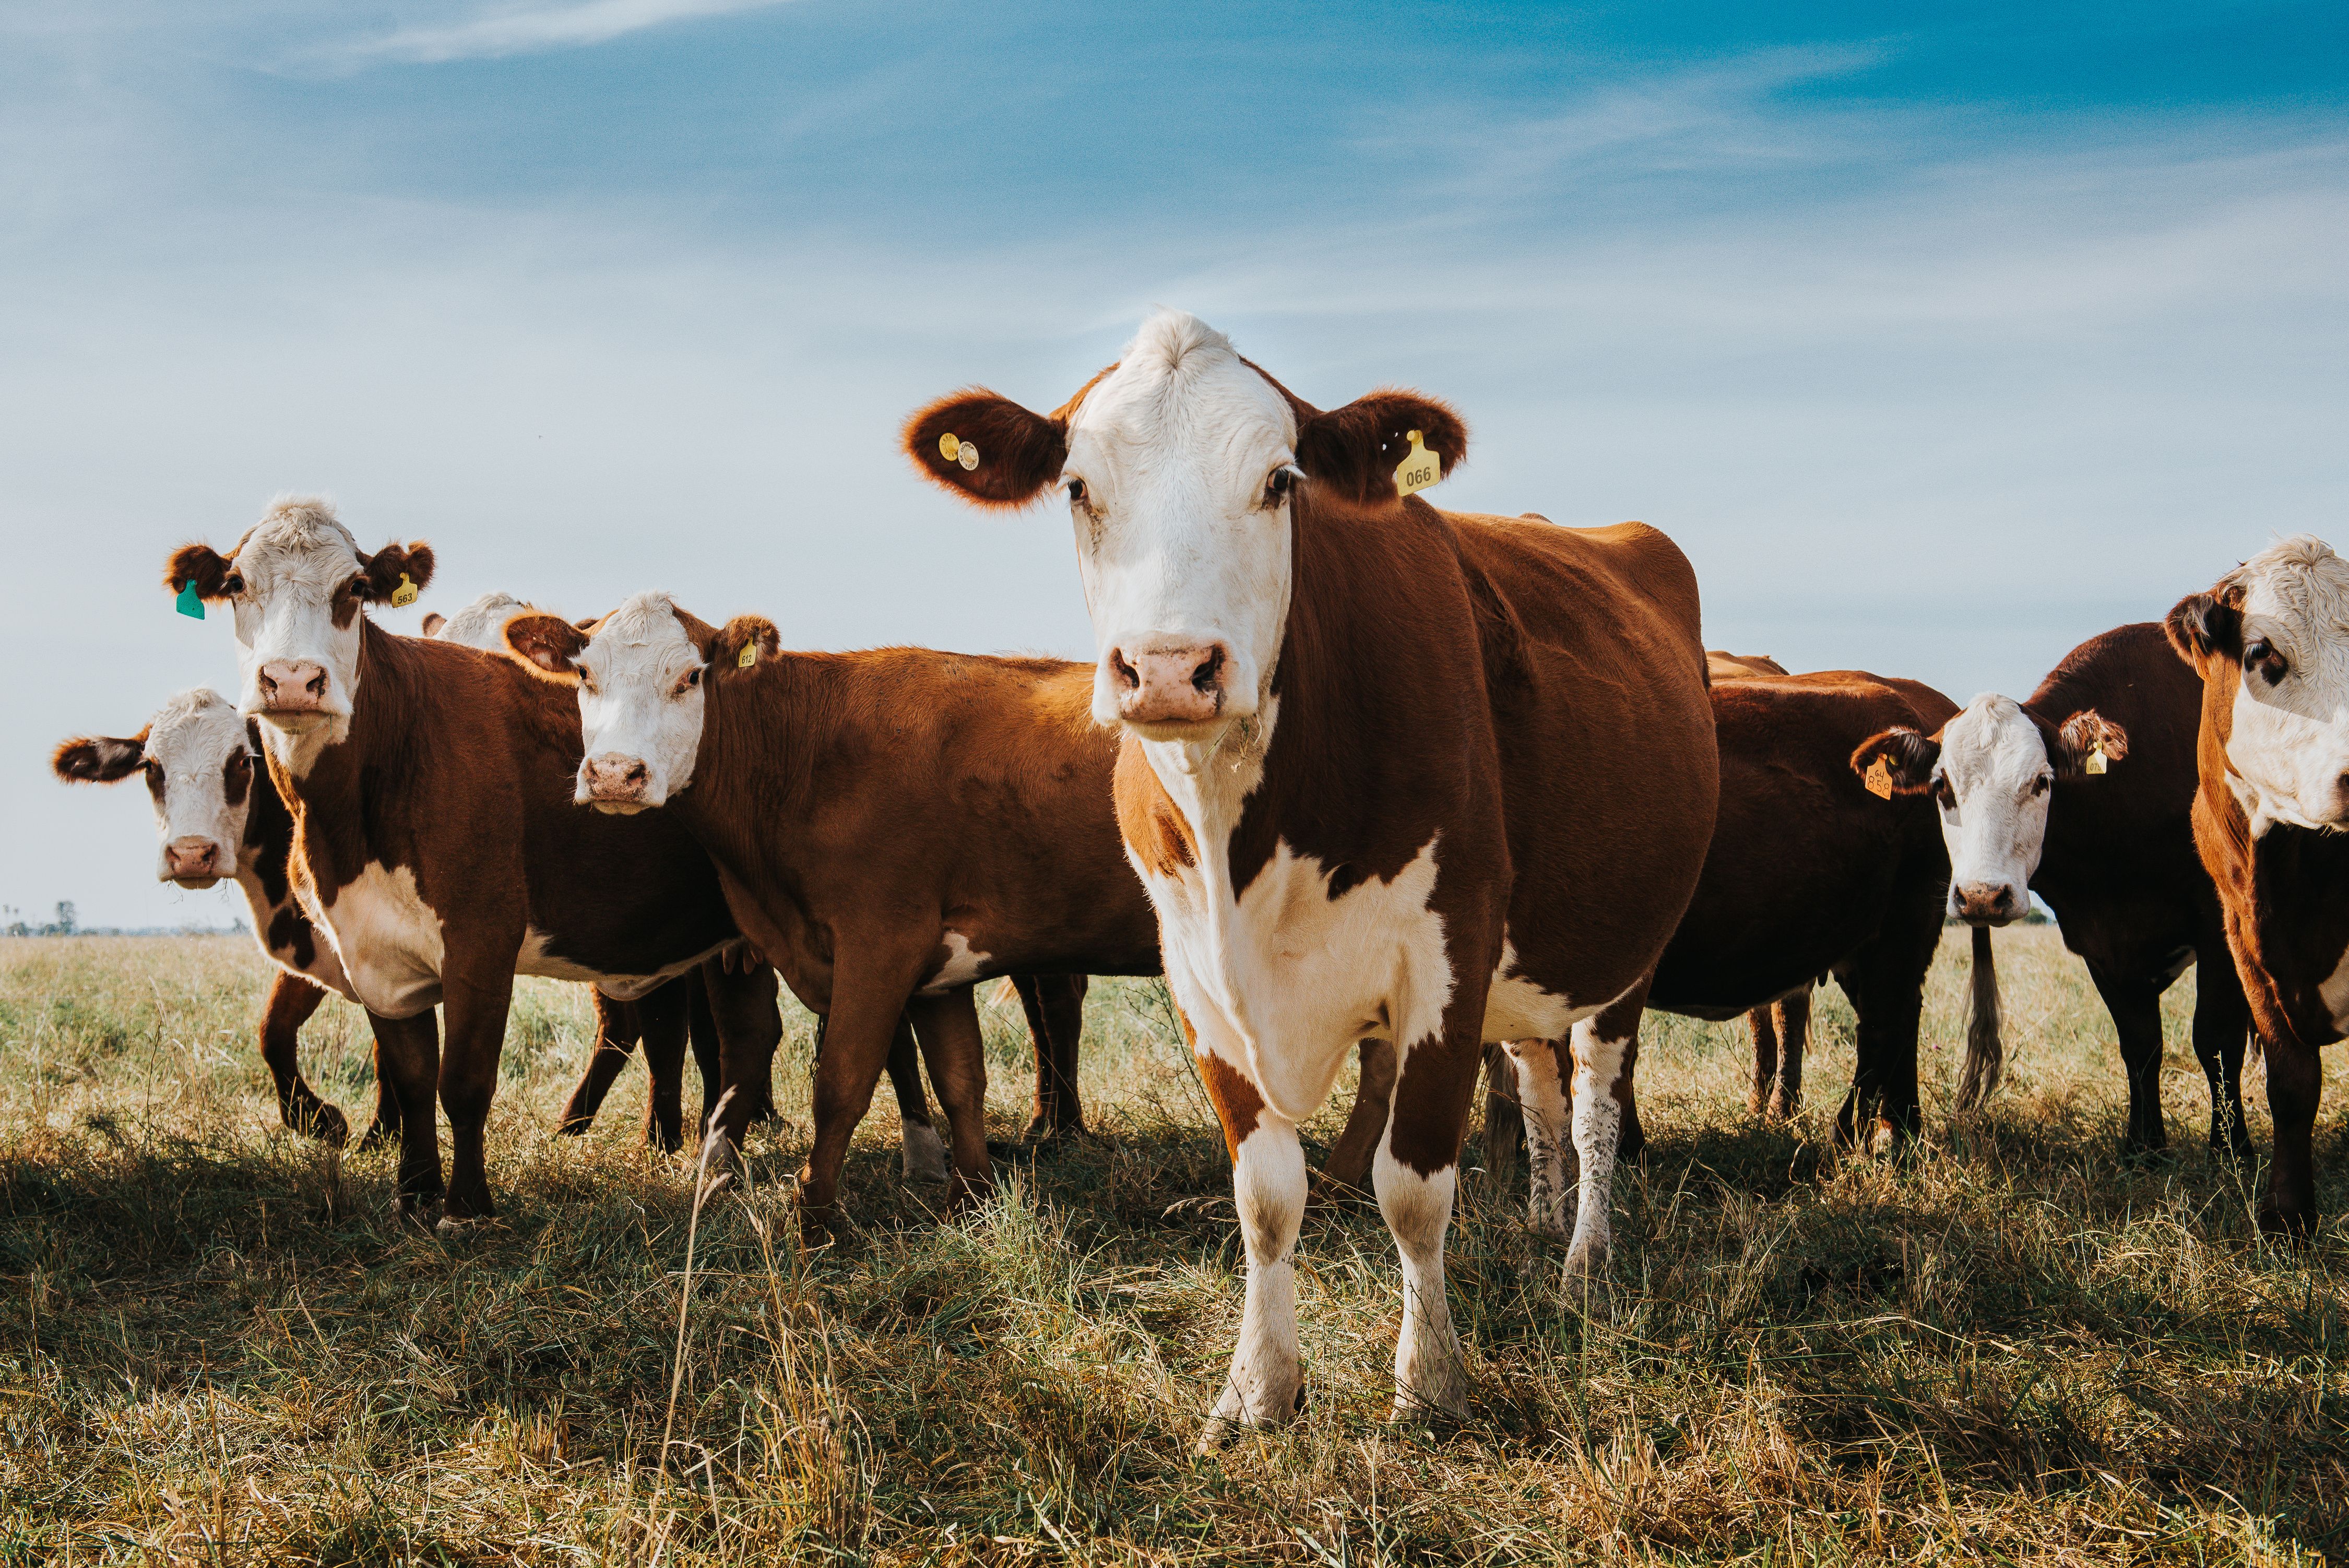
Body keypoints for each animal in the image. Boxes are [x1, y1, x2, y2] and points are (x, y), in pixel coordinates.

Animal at [161, 498, 785, 1228]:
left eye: (355, 588)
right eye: (236, 584)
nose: (292, 679)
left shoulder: (482, 938)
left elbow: (461, 1079)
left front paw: (466, 1206)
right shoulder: (374, 950)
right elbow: (409, 1075)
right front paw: (413, 1192)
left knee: (736, 1037)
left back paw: (717, 1162)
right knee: (736, 1033)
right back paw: (713, 1157)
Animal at [498, 597, 1164, 1230]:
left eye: (689, 677)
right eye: (586, 675)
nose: (615, 773)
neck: (805, 754)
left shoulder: (882, 942)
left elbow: (842, 1083)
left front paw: (814, 1218)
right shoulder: (940, 970)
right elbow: (960, 1081)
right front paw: (967, 1205)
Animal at [904, 311, 1719, 1438]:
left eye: (1281, 480)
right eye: (1075, 486)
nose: (1169, 668)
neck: (1247, 833)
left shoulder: (1449, 952)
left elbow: (1413, 1185)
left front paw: (1429, 1382)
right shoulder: (1197, 975)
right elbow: (1265, 1192)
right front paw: (1257, 1387)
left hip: (1625, 946)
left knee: (1597, 1094)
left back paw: (1585, 1260)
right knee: (1540, 1083)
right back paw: (1539, 1219)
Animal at [1850, 623, 2254, 1161]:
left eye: (2042, 782)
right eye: (1943, 788)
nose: (1982, 896)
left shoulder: (2221, 930)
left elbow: (2216, 1040)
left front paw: (2232, 1152)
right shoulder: (2102, 943)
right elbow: (2140, 1044)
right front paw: (2143, 1149)